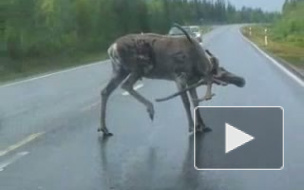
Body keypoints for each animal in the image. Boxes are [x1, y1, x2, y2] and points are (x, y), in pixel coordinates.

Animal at [98, 24, 246, 137]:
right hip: (135, 69)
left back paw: (104, 129)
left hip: (119, 70)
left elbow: (195, 102)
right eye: (222, 73)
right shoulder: (180, 78)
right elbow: (186, 103)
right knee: (126, 85)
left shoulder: (191, 81)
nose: (242, 81)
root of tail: (111, 48)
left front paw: (202, 126)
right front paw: (192, 128)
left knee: (105, 91)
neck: (198, 65)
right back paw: (150, 108)